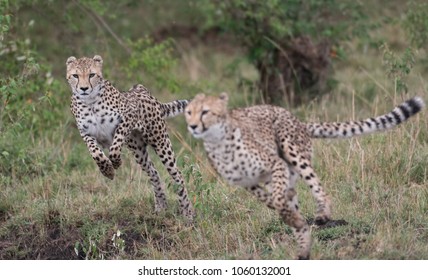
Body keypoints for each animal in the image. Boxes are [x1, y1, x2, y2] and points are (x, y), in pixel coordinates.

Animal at [66, 54, 193, 221]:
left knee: (177, 174)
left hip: (161, 142)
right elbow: (96, 154)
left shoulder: (128, 118)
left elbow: (115, 146)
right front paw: (107, 171)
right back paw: (161, 206)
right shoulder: (86, 134)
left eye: (91, 75)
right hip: (138, 150)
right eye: (75, 75)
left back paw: (187, 212)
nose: (84, 88)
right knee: (153, 172)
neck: (90, 102)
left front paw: (116, 163)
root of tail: (142, 90)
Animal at [185, 92, 424, 258]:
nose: (193, 126)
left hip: (292, 151)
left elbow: (278, 198)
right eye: (188, 112)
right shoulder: (248, 183)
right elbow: (272, 200)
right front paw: (292, 218)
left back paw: (322, 214)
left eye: (205, 111)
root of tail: (296, 119)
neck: (219, 142)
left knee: (316, 185)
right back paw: (303, 246)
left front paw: (291, 214)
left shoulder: (275, 165)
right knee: (293, 196)